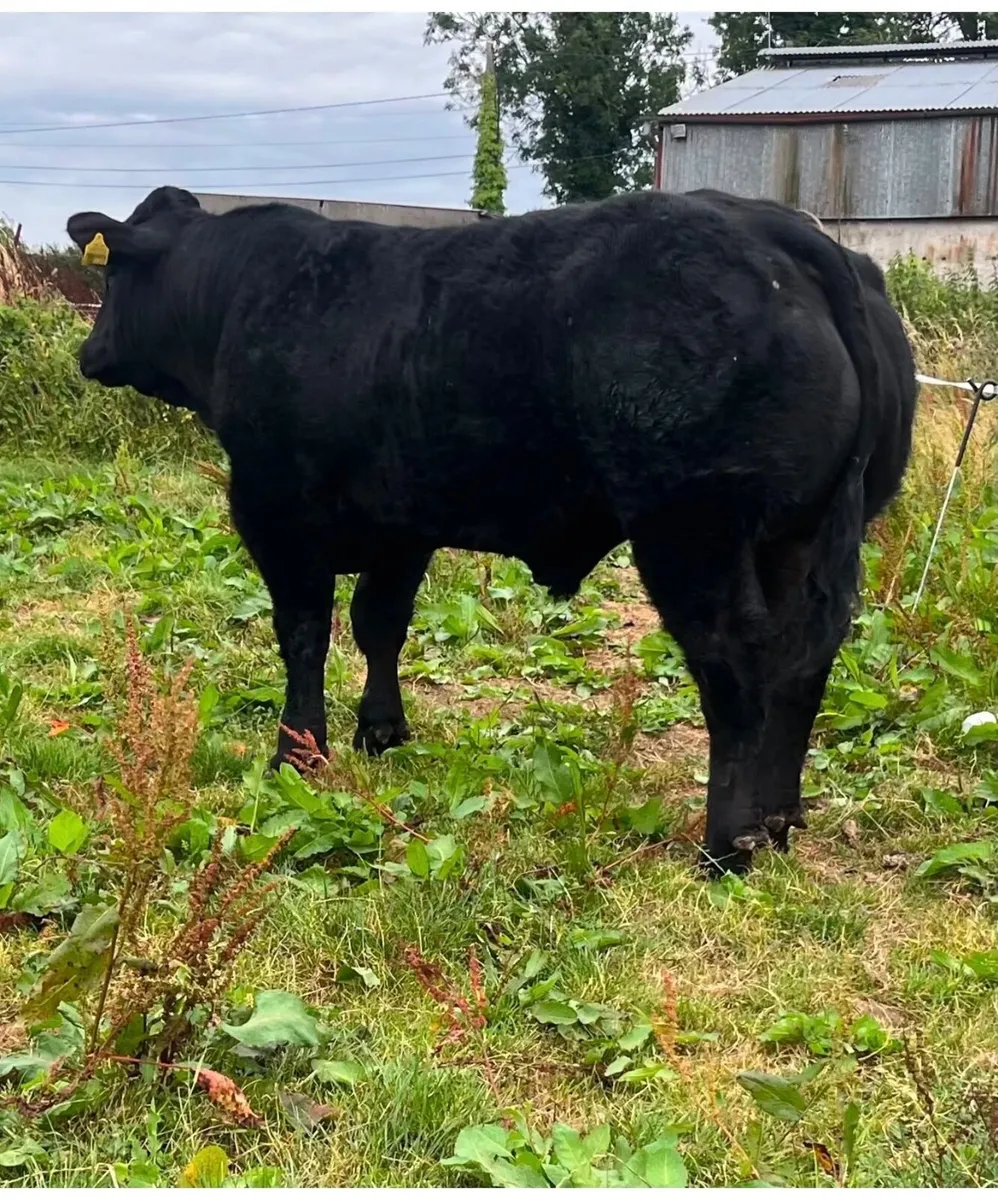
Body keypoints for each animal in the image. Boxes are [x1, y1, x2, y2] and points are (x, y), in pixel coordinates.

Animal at [66, 184, 916, 874]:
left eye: (111, 276)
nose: (88, 351)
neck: (242, 296)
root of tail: (777, 229)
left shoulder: (276, 512)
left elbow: (304, 633)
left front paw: (298, 753)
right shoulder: (401, 525)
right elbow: (380, 624)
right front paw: (383, 731)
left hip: (694, 532)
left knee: (736, 662)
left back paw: (727, 842)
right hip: (801, 535)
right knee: (804, 660)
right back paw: (779, 821)